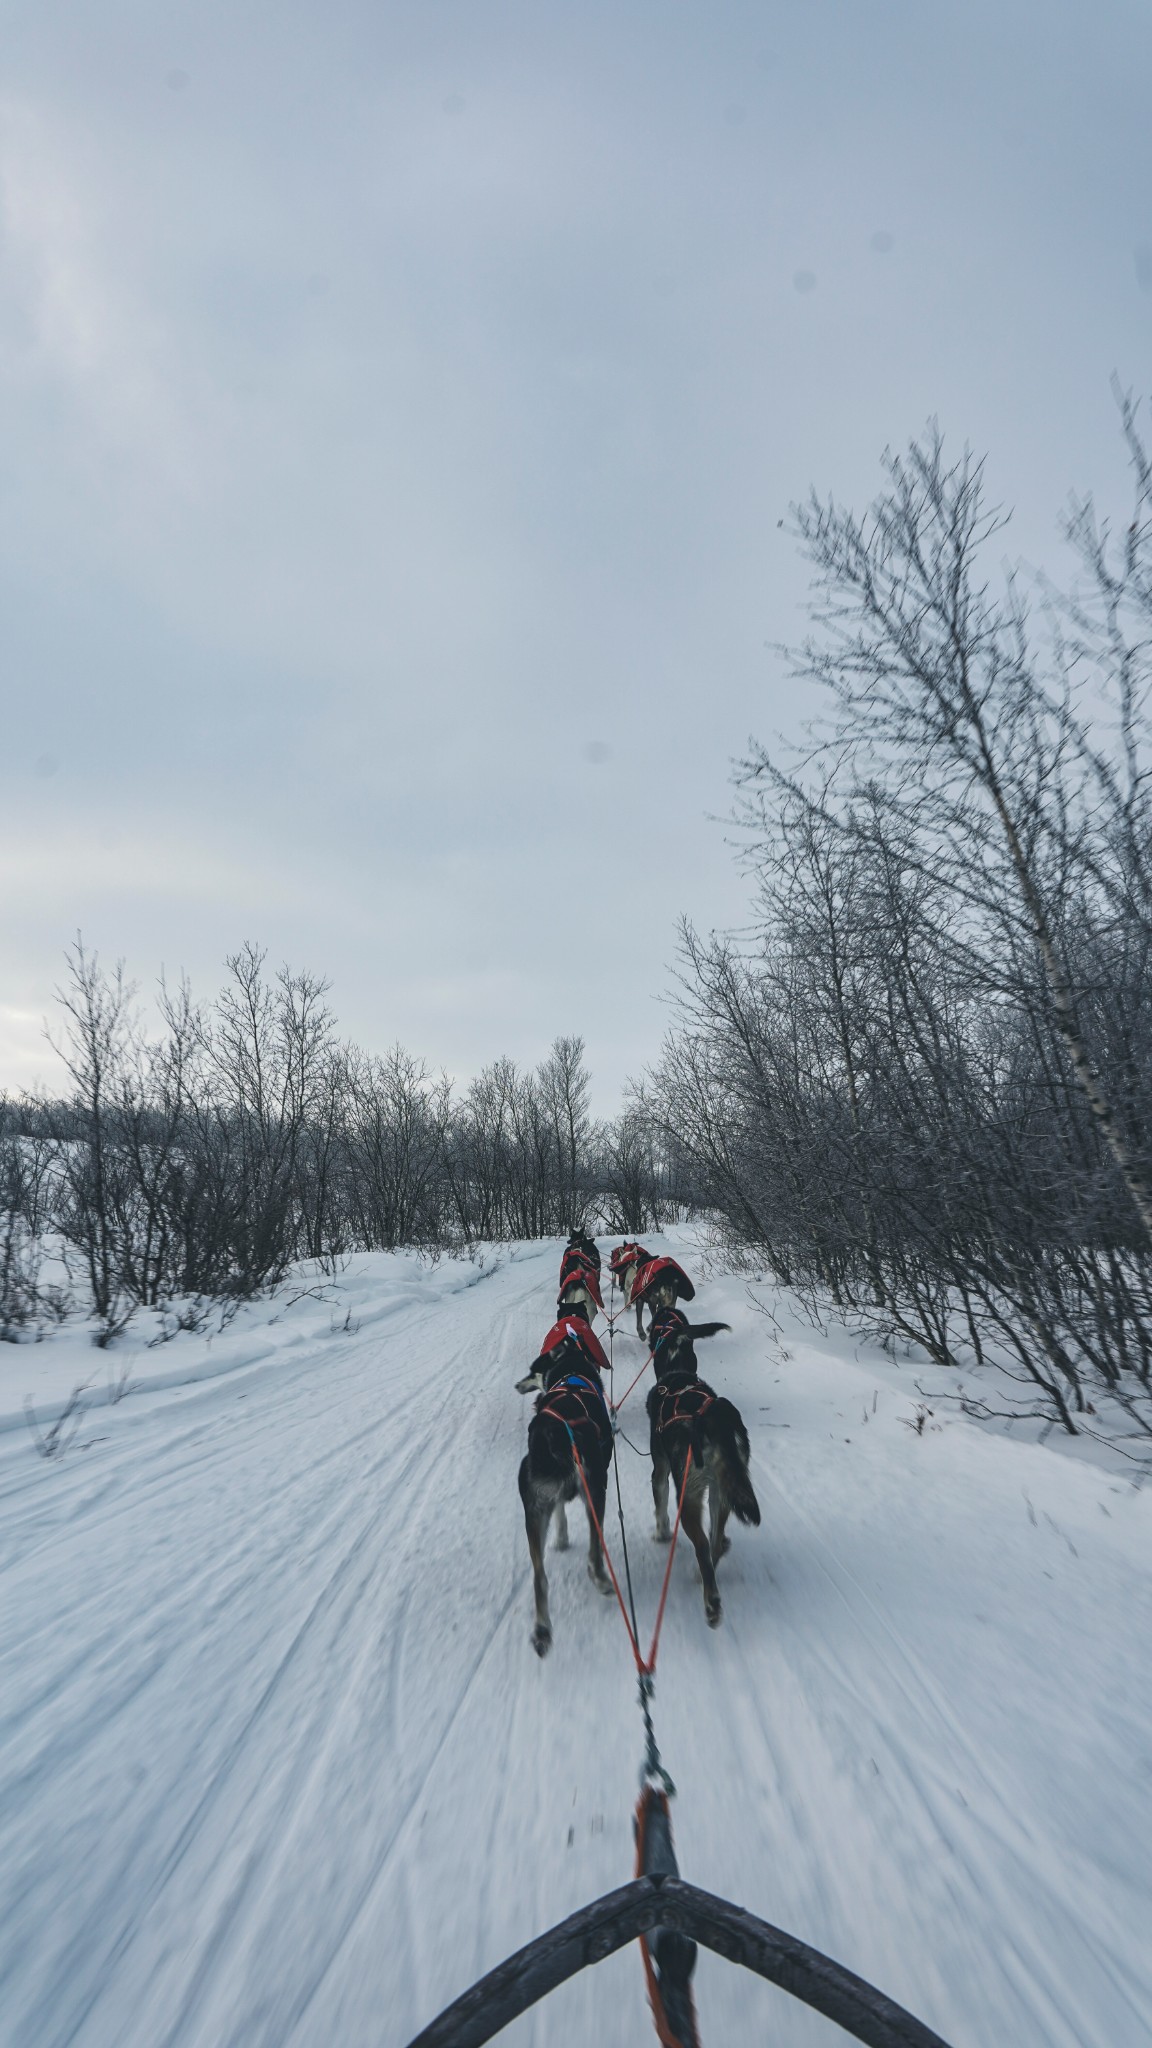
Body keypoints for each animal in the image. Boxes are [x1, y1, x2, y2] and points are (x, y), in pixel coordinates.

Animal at [639, 1310, 758, 1630]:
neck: (677, 1375)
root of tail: (713, 1420)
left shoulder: (660, 1472)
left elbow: (659, 1505)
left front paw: (661, 1533)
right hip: (722, 1492)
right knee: (715, 1540)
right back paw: (707, 1571)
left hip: (689, 1495)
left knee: (703, 1545)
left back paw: (711, 1601)